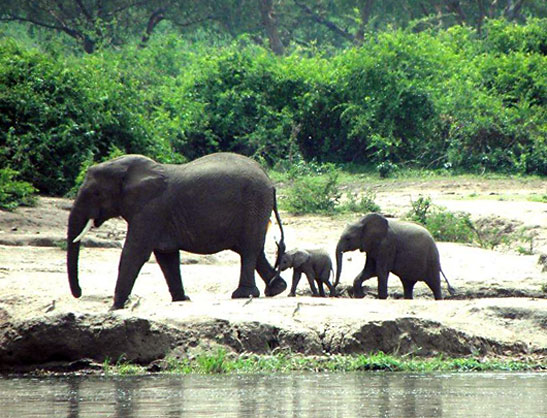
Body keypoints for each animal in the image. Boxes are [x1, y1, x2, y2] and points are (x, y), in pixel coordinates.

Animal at [68, 152, 286, 308]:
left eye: (96, 194)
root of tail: (270, 182)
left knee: (248, 250)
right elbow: (166, 256)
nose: (79, 293)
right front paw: (182, 300)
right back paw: (275, 290)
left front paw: (115, 307)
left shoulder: (150, 208)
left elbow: (135, 252)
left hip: (254, 204)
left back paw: (243, 295)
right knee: (253, 250)